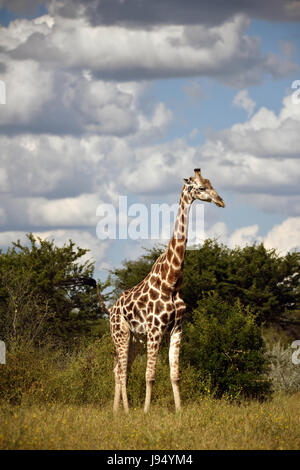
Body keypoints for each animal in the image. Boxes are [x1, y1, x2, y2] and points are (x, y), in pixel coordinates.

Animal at [101, 167, 225, 414]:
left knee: (119, 370)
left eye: (211, 184)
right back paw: (126, 411)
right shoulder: (155, 329)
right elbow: (150, 375)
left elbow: (175, 375)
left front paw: (180, 411)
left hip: (135, 339)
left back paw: (117, 411)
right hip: (121, 333)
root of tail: (111, 310)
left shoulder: (177, 328)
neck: (172, 281)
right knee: (121, 371)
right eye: (201, 187)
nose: (220, 201)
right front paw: (146, 411)